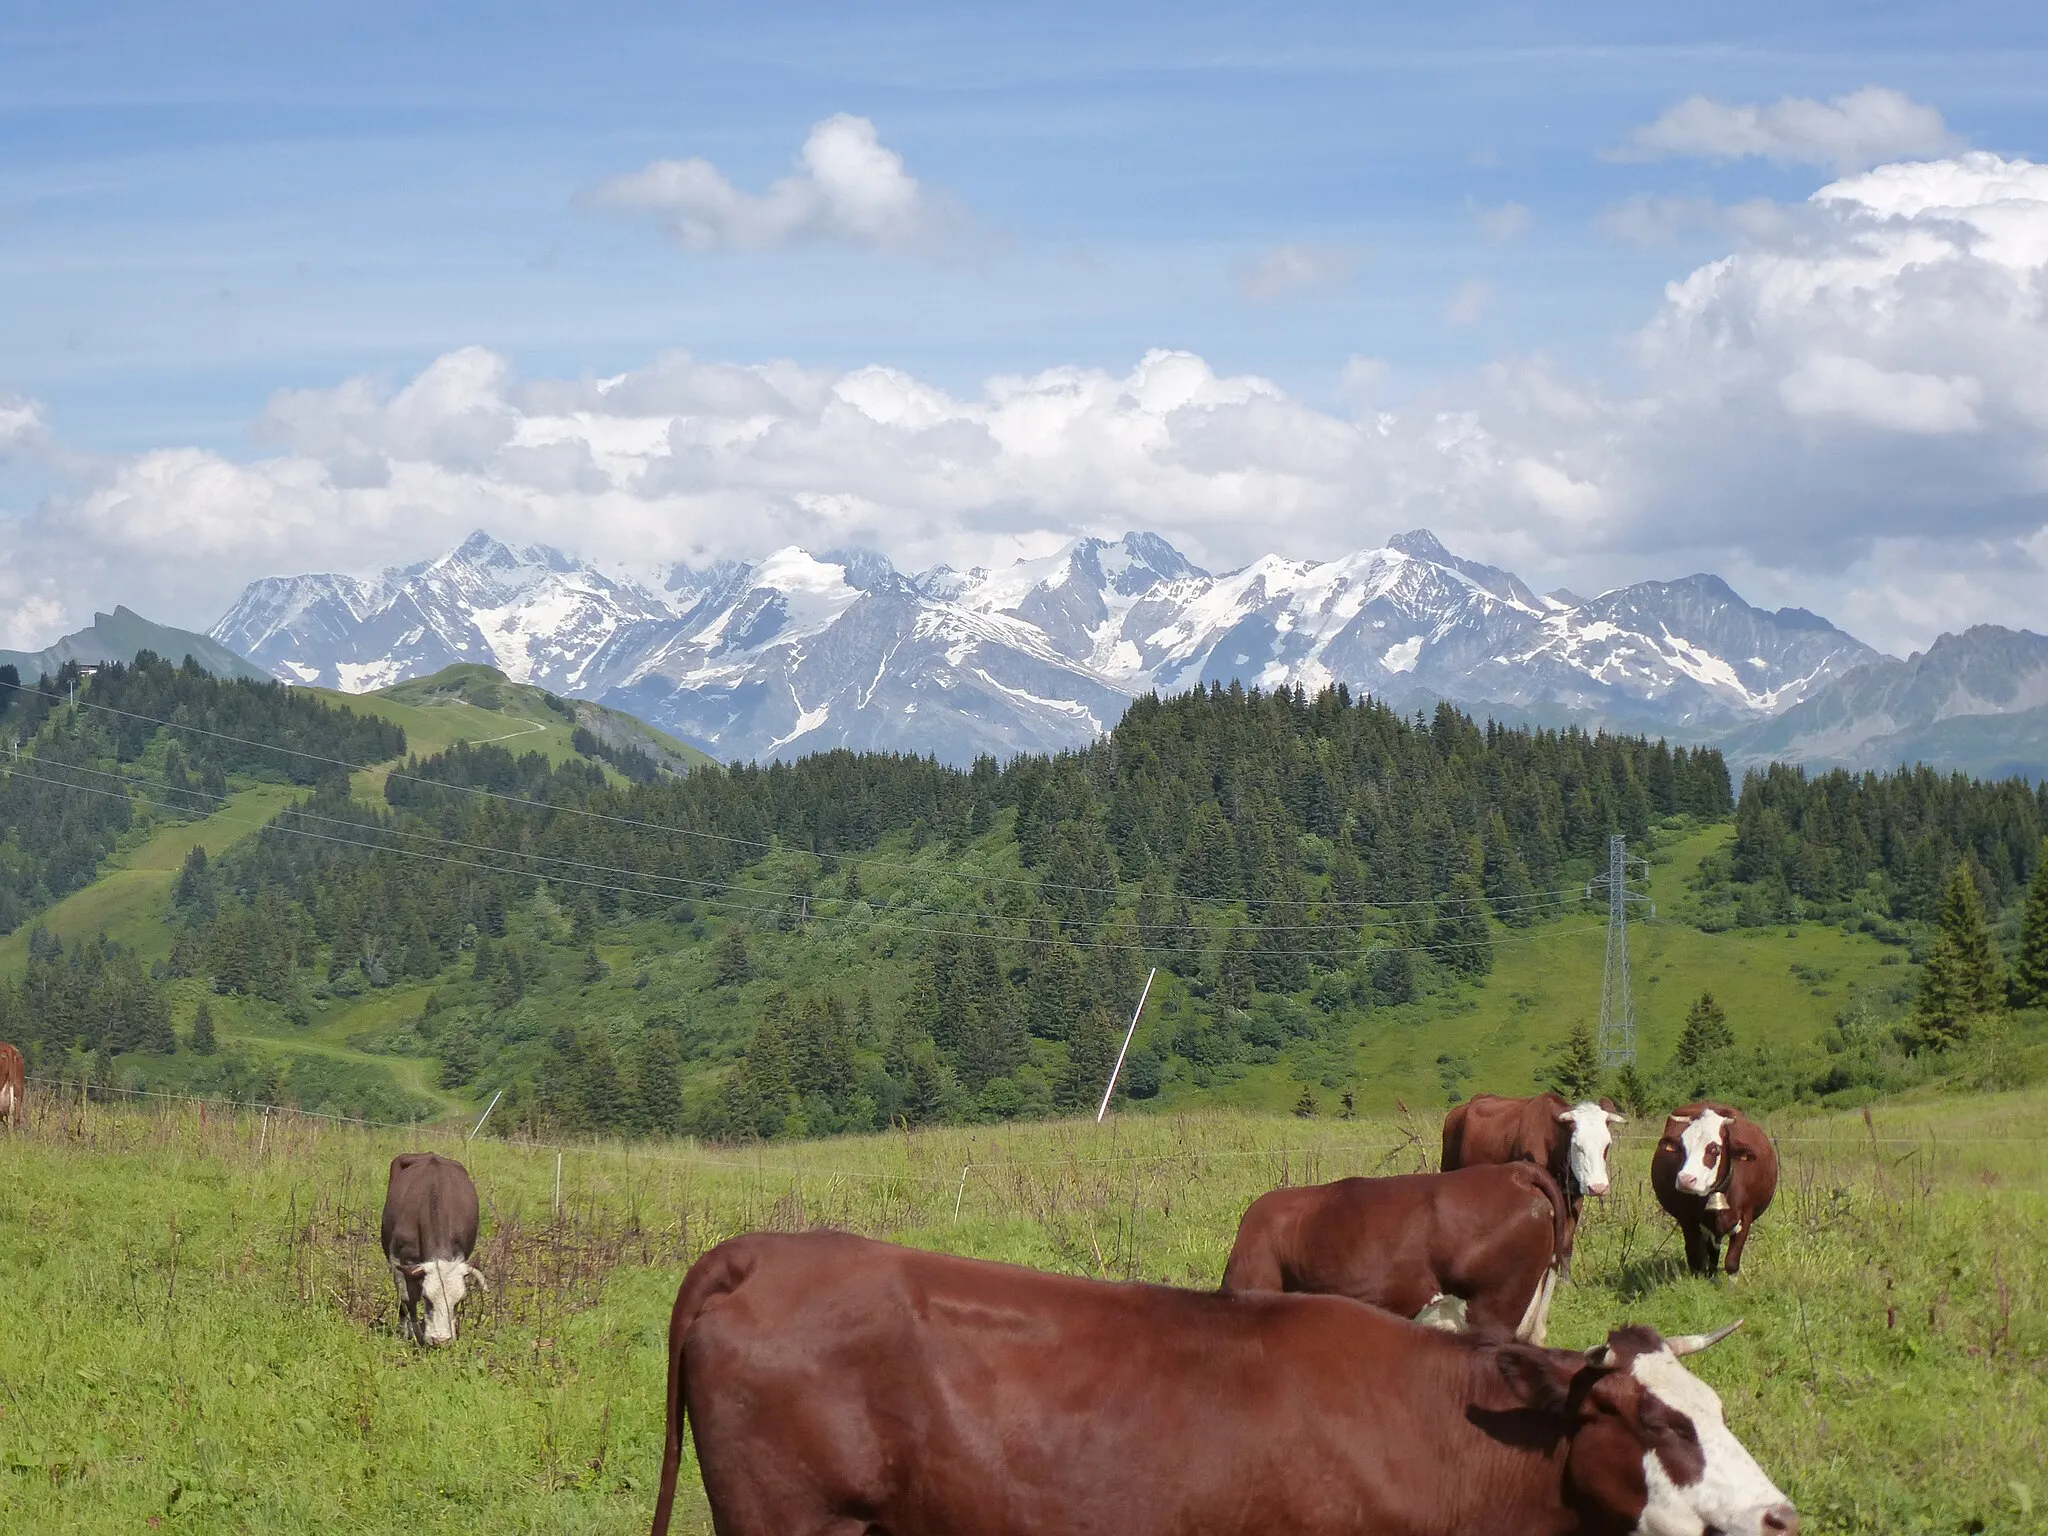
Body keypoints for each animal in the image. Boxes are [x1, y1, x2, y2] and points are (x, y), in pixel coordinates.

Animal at [378, 1155, 485, 1343]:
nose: (440, 1340)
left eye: (458, 1301)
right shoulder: (398, 1259)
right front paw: (409, 1331)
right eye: (427, 1299)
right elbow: (406, 1297)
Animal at [1646, 1097, 1777, 1277]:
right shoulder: (1688, 1220)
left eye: (1715, 1148)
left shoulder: (1745, 1218)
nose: (1685, 1179)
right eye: (1682, 1147)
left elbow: (1732, 1263)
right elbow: (1696, 1260)